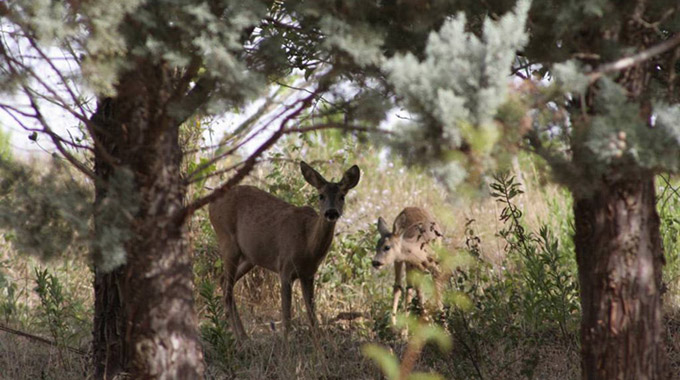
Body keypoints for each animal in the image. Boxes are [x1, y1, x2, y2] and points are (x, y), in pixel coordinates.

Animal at [209, 160, 362, 338]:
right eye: (321, 195)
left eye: (342, 196)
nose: (331, 212)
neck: (308, 246)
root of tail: (211, 205)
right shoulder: (285, 268)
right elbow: (287, 316)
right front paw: (286, 341)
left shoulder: (308, 274)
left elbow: (312, 315)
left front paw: (318, 341)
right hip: (227, 240)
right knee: (227, 289)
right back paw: (240, 338)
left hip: (250, 257)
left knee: (224, 281)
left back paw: (242, 336)